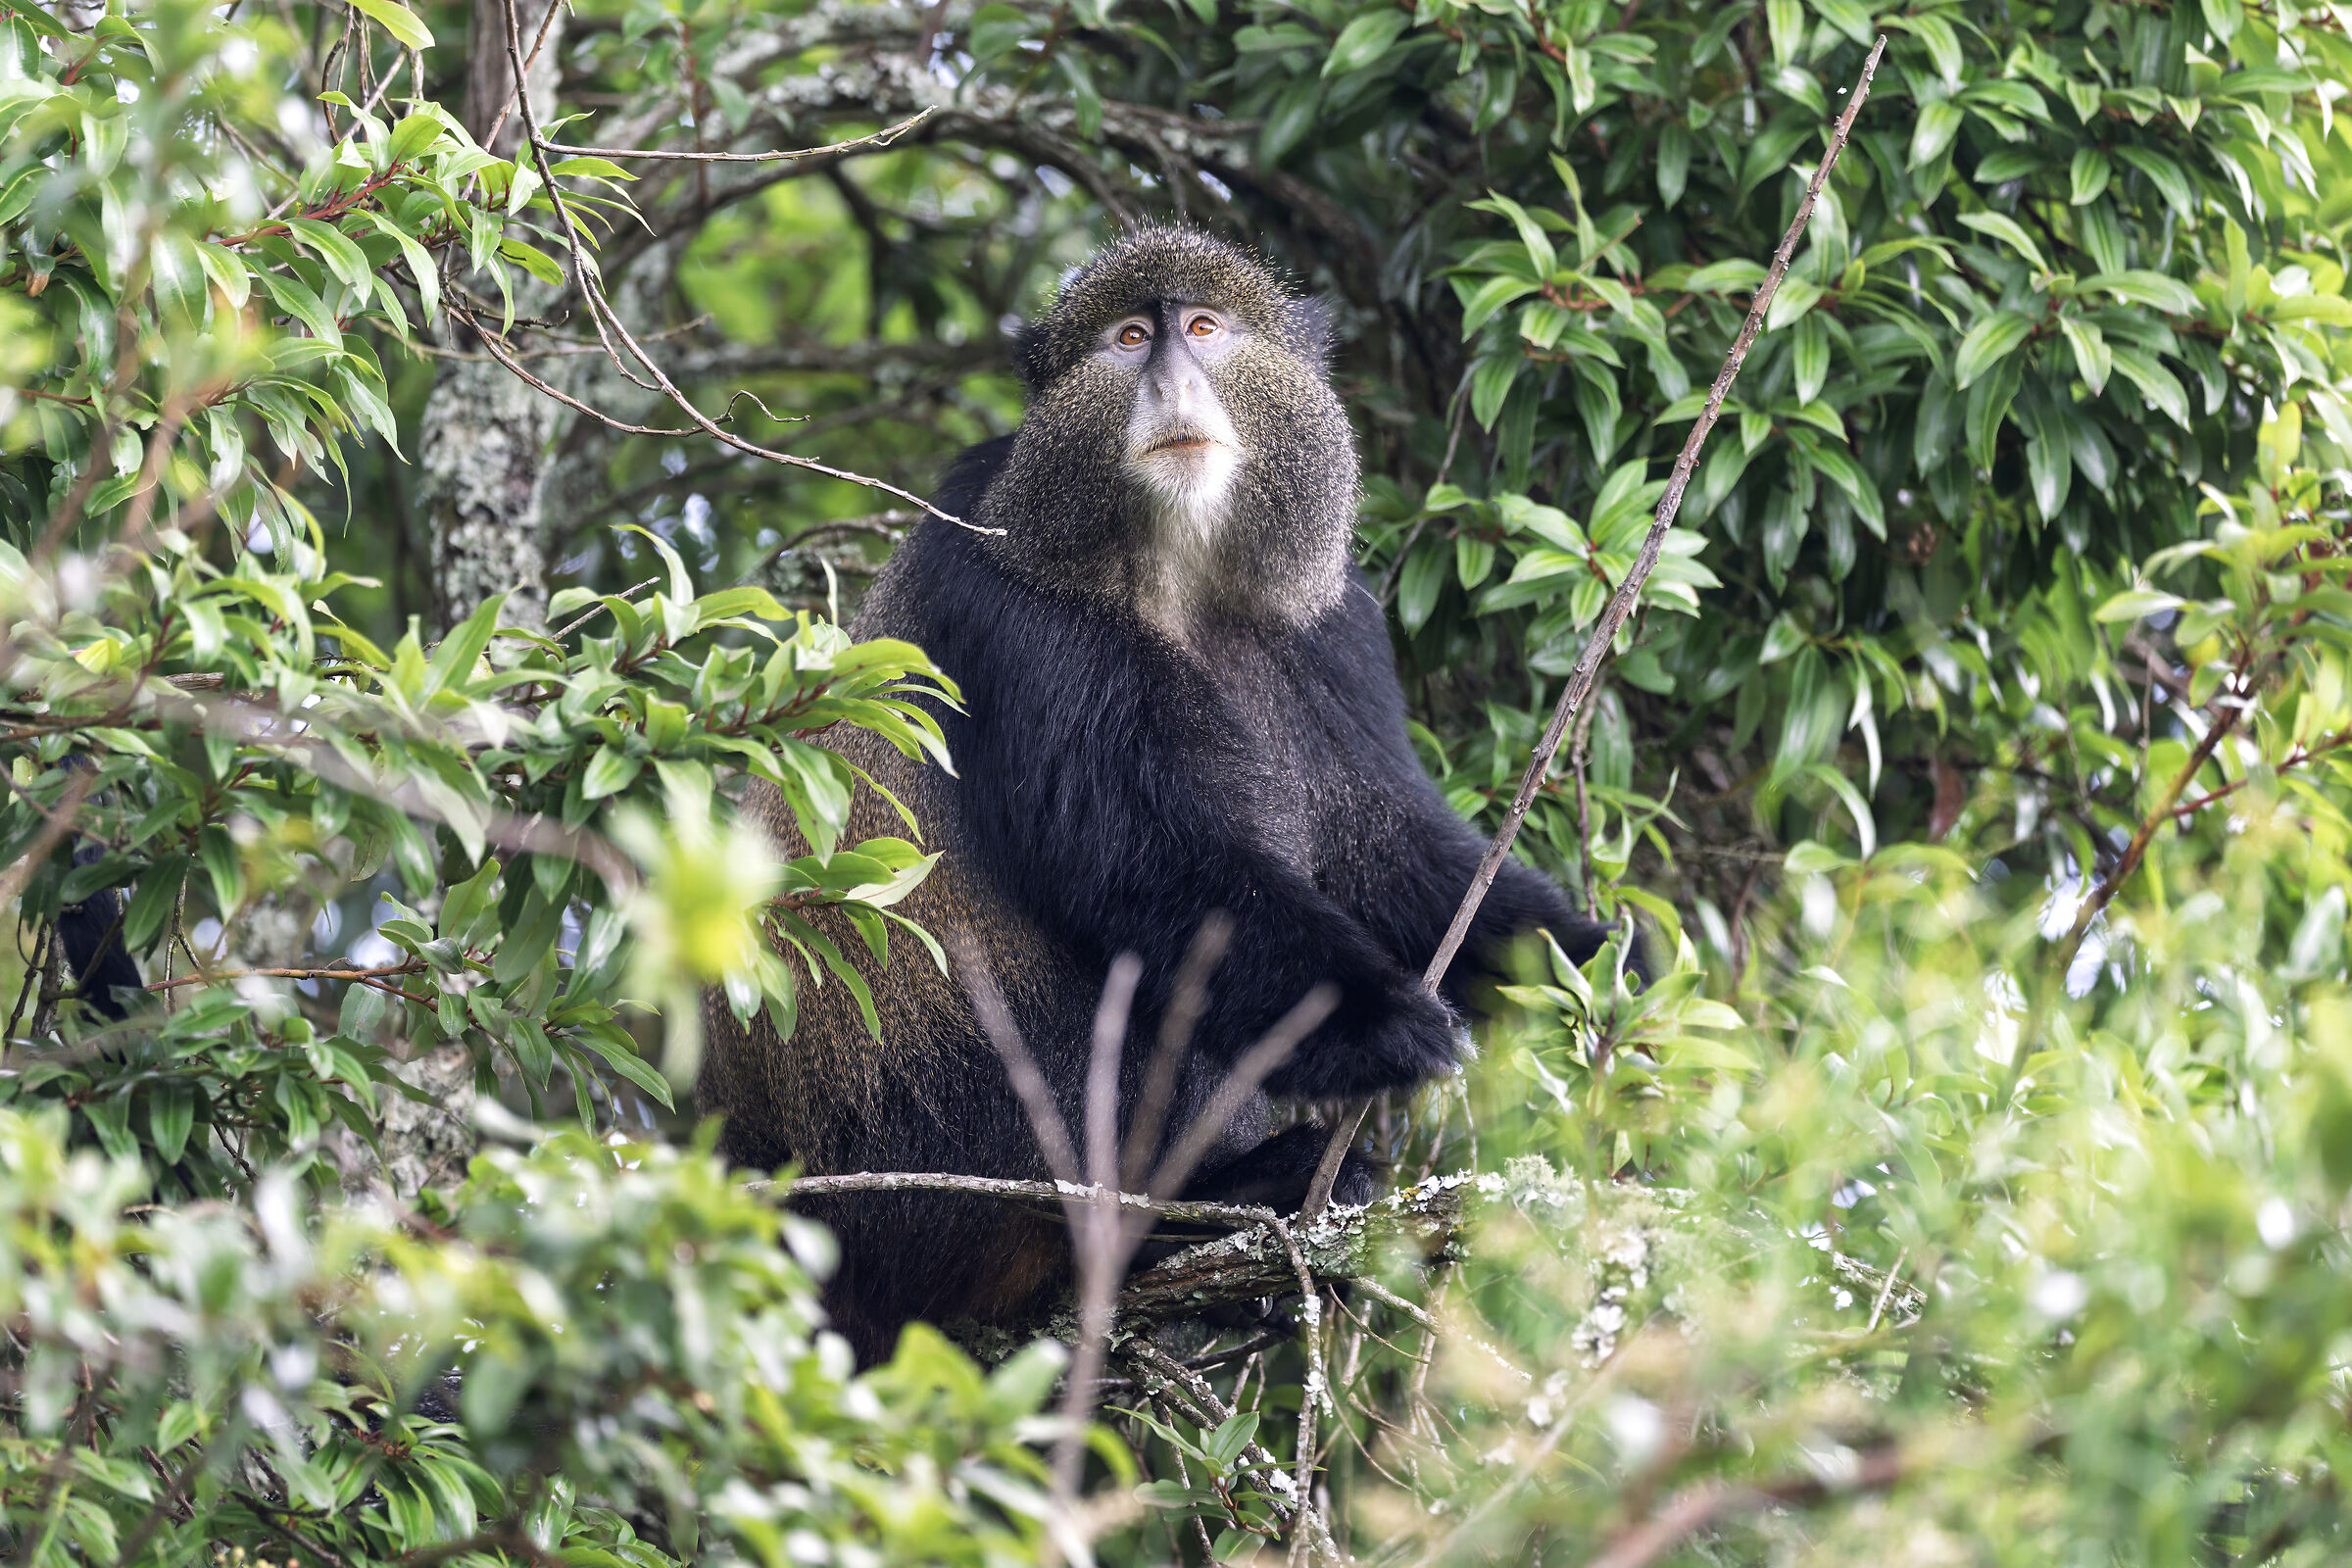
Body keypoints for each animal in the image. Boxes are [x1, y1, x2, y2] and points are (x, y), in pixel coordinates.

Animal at [699, 226, 1638, 1365]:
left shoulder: (1332, 614)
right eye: (1127, 338)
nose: (1172, 379)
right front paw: (1385, 1025)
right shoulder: (1017, 603)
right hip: (939, 1168)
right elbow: (1150, 869)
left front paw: (1595, 965)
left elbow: (1384, 845)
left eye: (1203, 327)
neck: (1180, 575)